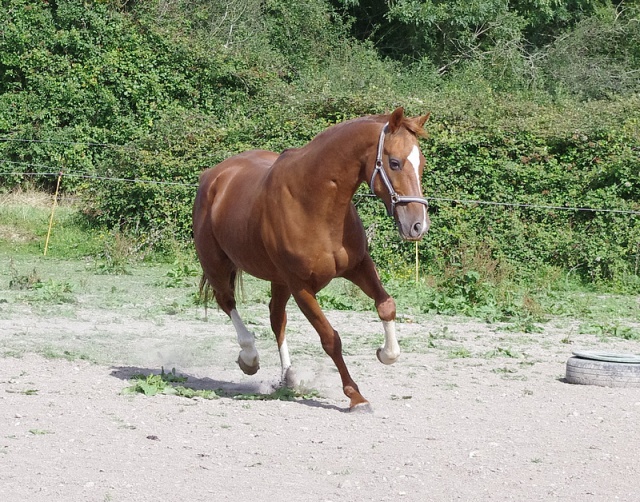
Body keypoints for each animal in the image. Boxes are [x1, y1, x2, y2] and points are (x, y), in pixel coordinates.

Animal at [190, 107, 430, 412]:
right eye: (395, 163)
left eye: (422, 164)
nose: (418, 226)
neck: (315, 203)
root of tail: (212, 175)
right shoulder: (301, 286)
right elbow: (330, 339)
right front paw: (356, 396)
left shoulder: (358, 266)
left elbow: (386, 305)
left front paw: (386, 353)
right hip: (217, 266)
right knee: (228, 303)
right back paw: (249, 358)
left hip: (277, 280)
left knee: (276, 317)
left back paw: (289, 376)